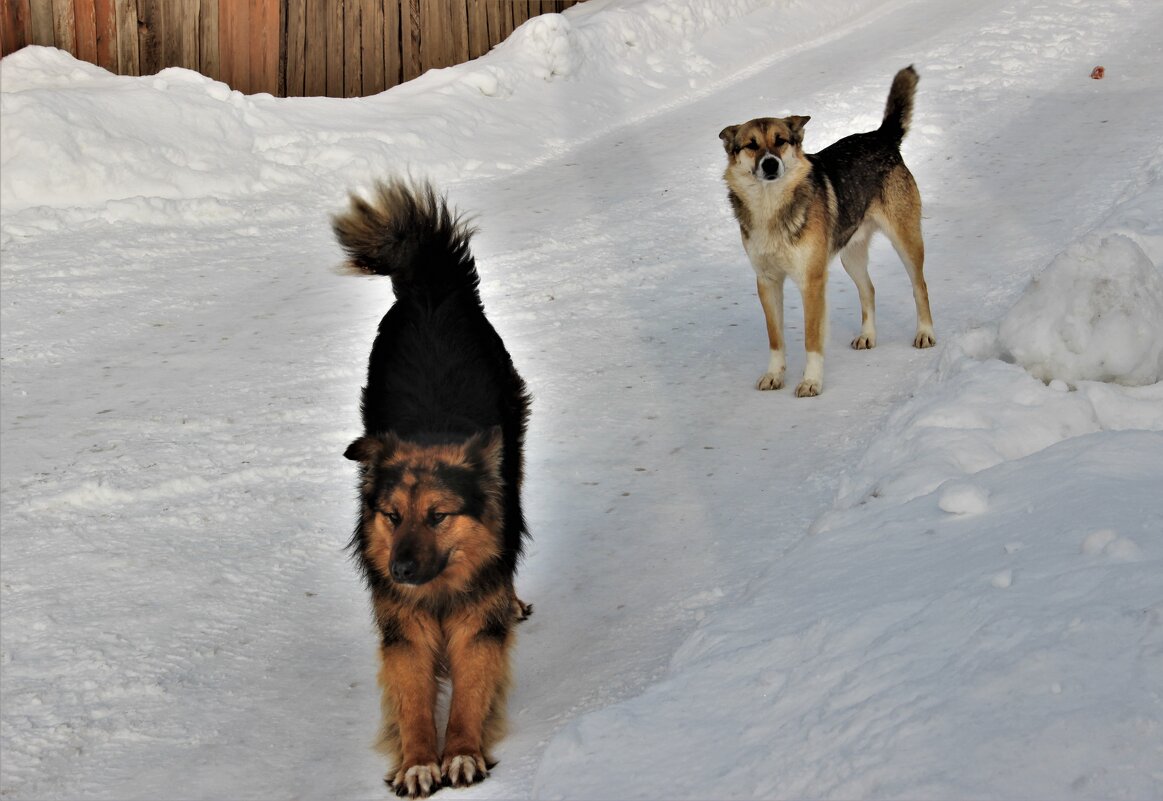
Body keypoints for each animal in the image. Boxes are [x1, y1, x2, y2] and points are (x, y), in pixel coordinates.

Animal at [332, 181, 532, 799]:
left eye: (439, 516)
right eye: (392, 516)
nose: (399, 570)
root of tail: (431, 290)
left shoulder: (475, 624)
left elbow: (470, 686)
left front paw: (462, 751)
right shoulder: (404, 626)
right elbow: (413, 695)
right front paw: (420, 760)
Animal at [716, 65, 935, 397]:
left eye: (781, 140)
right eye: (751, 145)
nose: (770, 164)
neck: (772, 207)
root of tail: (881, 136)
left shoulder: (812, 281)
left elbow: (811, 339)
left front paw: (811, 381)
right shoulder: (767, 281)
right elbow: (775, 338)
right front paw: (774, 375)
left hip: (906, 241)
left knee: (919, 286)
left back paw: (925, 333)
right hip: (850, 256)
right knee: (869, 290)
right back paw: (868, 336)